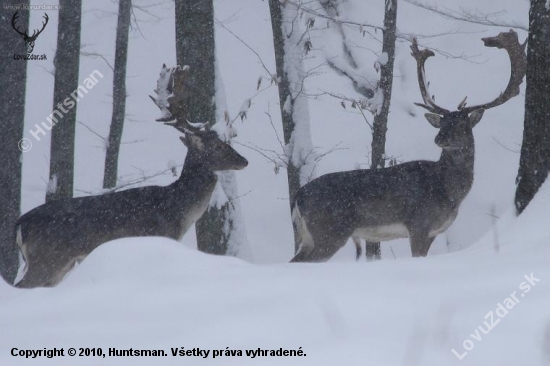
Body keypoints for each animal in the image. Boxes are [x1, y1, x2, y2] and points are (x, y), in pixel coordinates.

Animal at [14, 66, 249, 288]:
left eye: (225, 141)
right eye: (217, 146)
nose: (244, 161)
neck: (178, 209)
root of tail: (19, 224)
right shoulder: (159, 235)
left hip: (59, 263)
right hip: (48, 257)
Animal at [292, 30, 528, 262]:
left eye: (462, 124)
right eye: (443, 122)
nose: (439, 139)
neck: (449, 190)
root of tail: (297, 198)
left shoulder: (433, 232)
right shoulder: (419, 224)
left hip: (311, 236)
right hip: (329, 231)